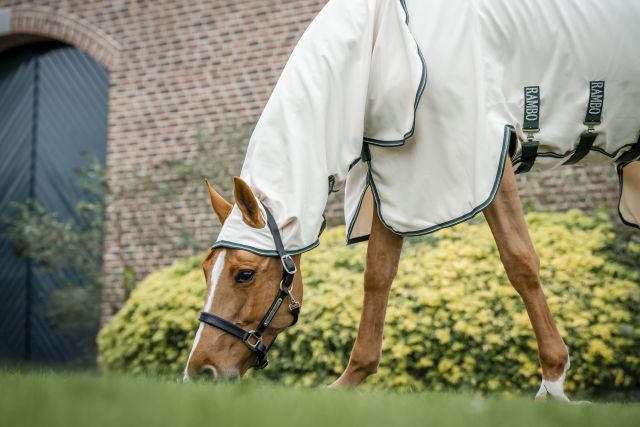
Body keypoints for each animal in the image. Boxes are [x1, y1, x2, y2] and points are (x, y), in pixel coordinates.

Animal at [183, 0, 640, 400]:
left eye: (244, 274)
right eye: (206, 270)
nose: (199, 372)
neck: (379, 49)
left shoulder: (487, 161)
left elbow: (520, 262)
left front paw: (554, 382)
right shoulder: (395, 182)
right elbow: (377, 277)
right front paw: (348, 382)